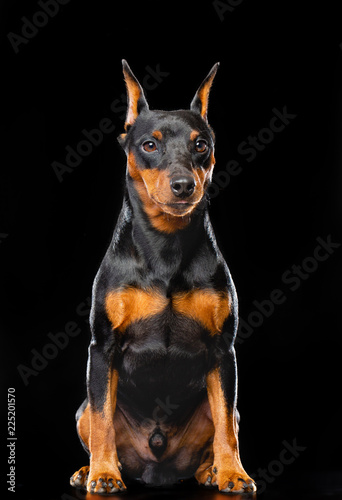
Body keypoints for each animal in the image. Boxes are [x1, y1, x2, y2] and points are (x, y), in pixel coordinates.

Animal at [69, 60, 255, 494]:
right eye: (149, 146)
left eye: (200, 144)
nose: (183, 185)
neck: (166, 247)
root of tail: (159, 469)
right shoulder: (102, 349)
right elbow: (103, 422)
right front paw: (104, 474)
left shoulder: (223, 351)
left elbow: (226, 428)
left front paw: (234, 474)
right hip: (83, 407)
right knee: (96, 419)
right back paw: (91, 469)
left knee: (222, 425)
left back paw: (212, 471)